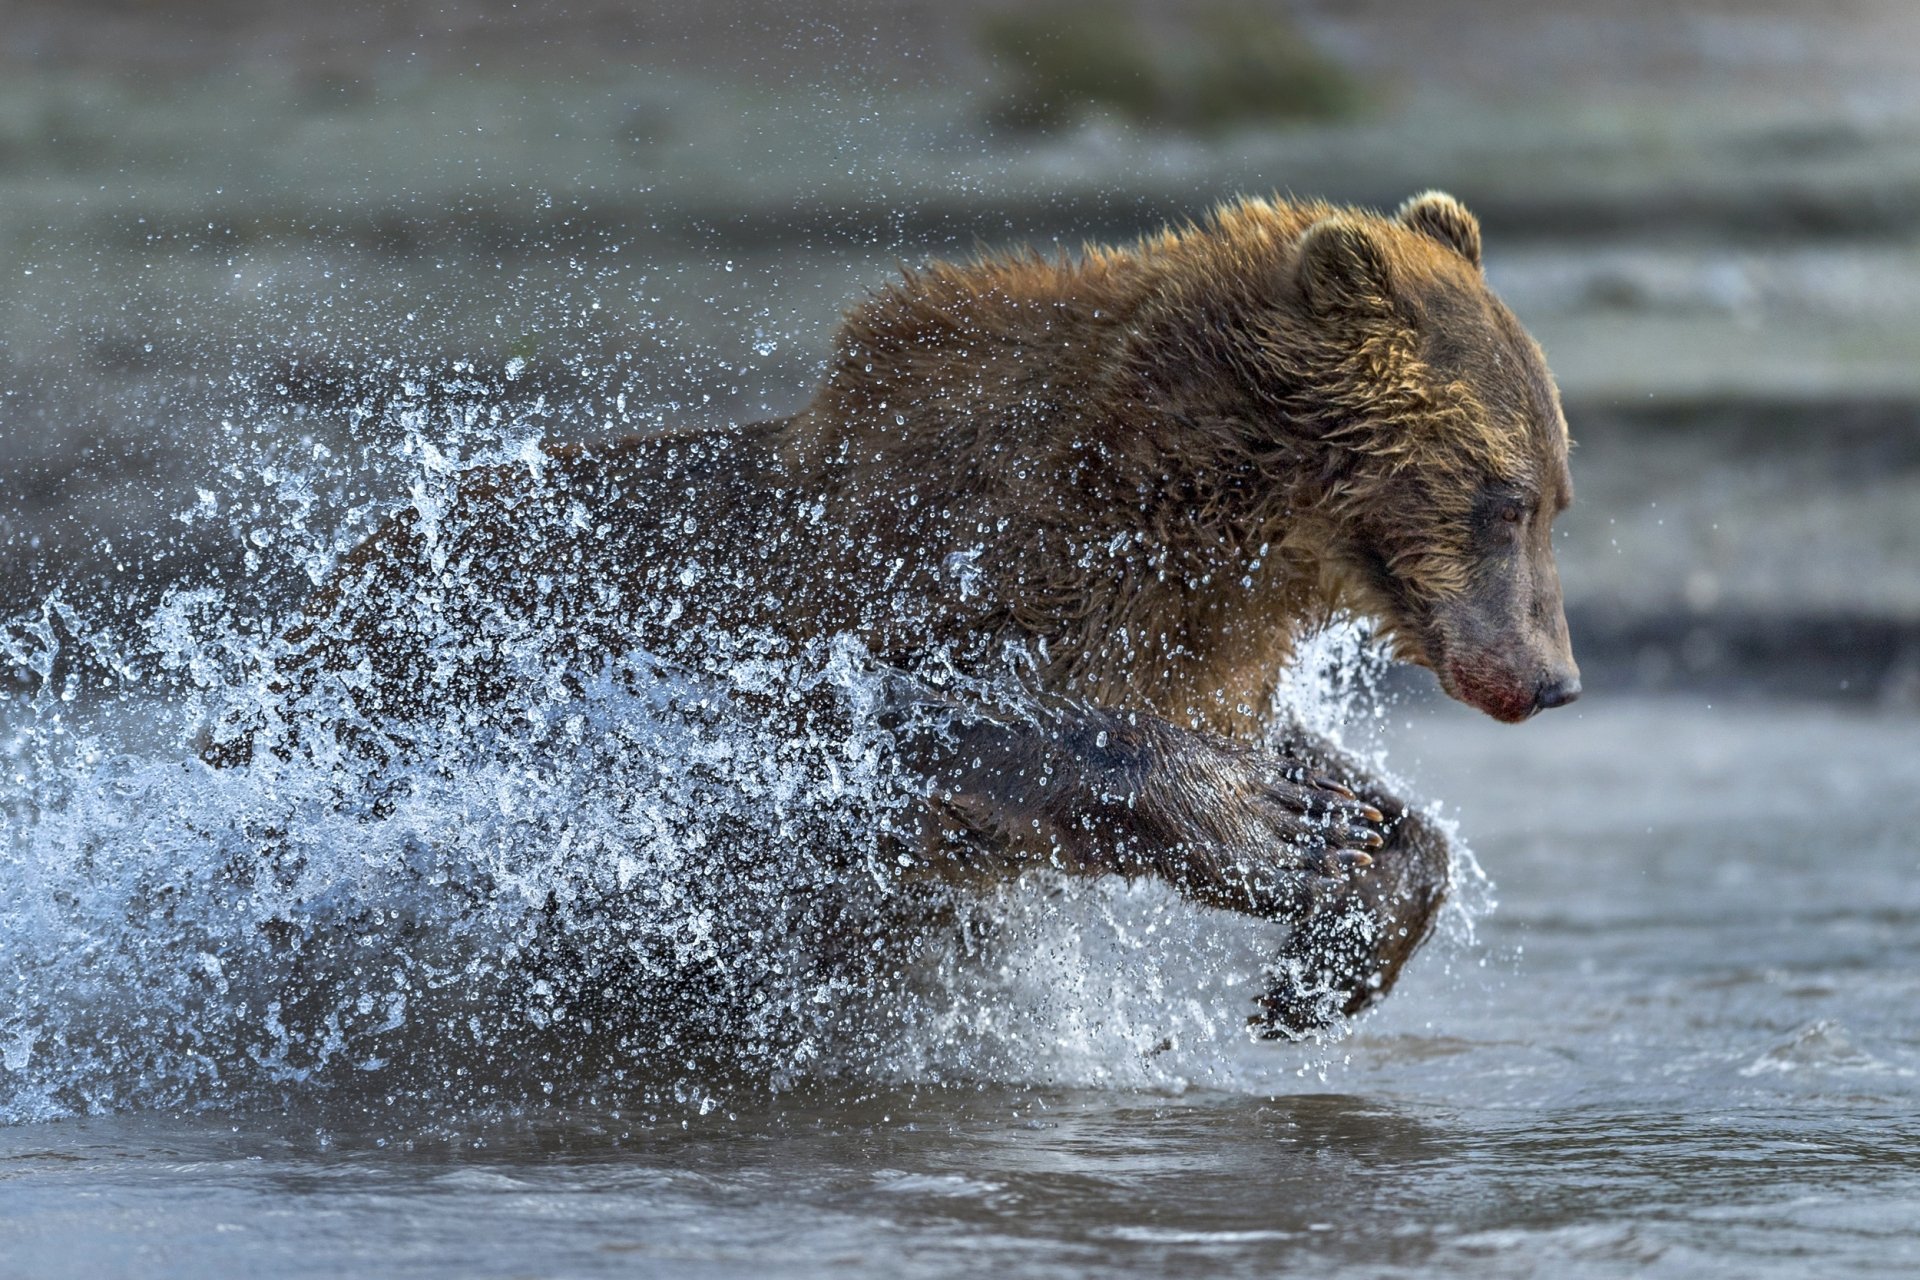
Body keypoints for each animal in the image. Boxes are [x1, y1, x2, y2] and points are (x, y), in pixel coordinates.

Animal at [215, 190, 1579, 1038]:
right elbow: (901, 722)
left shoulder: (1192, 643)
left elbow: (1318, 768)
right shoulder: (908, 576)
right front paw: (1279, 832)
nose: (1554, 676)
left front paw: (1340, 915)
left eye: (1557, 494)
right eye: (1504, 499)